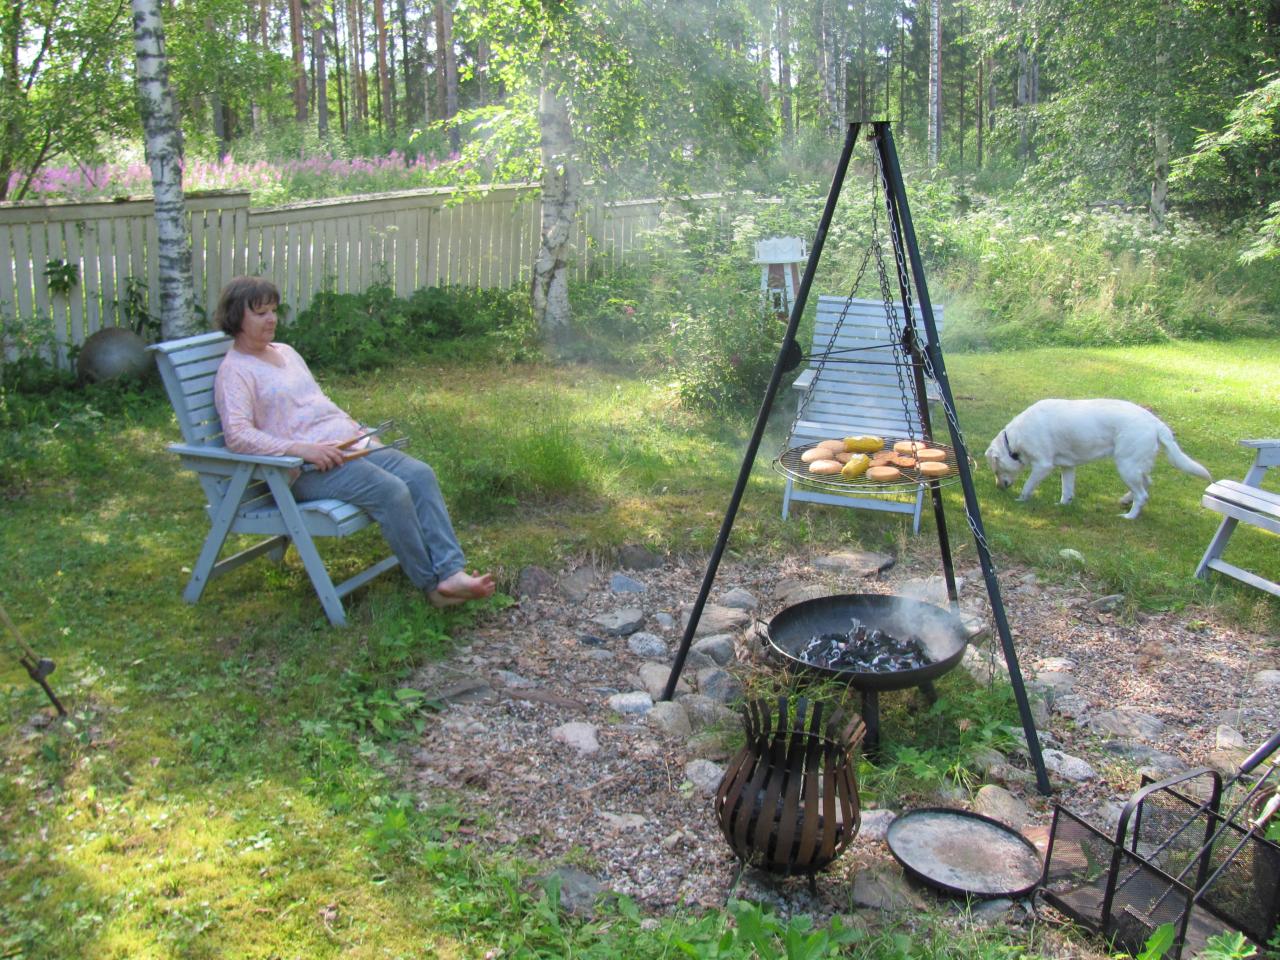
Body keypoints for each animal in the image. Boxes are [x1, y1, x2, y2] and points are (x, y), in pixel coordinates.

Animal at [988, 399, 1208, 519]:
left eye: (997, 470)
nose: (998, 487)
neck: (1013, 440)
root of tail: (1155, 422)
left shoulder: (1043, 465)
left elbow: (1028, 486)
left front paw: (1020, 500)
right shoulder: (1067, 467)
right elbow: (1066, 489)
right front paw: (1063, 505)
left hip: (1126, 465)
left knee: (1143, 494)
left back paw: (1129, 516)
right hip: (1134, 465)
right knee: (1147, 482)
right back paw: (1126, 499)